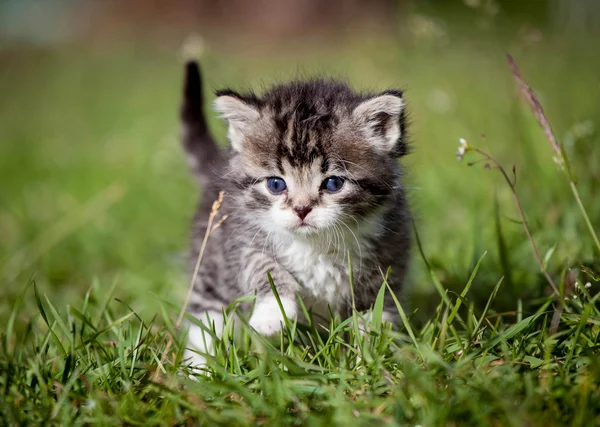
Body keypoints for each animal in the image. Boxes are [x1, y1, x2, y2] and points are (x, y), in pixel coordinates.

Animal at [180, 61, 410, 370]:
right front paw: (271, 314)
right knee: (205, 319)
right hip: (209, 265)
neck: (315, 246)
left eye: (333, 183)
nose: (301, 209)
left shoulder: (390, 255)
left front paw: (369, 360)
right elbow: (264, 268)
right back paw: (199, 368)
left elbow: (375, 313)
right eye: (276, 184)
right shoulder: (242, 240)